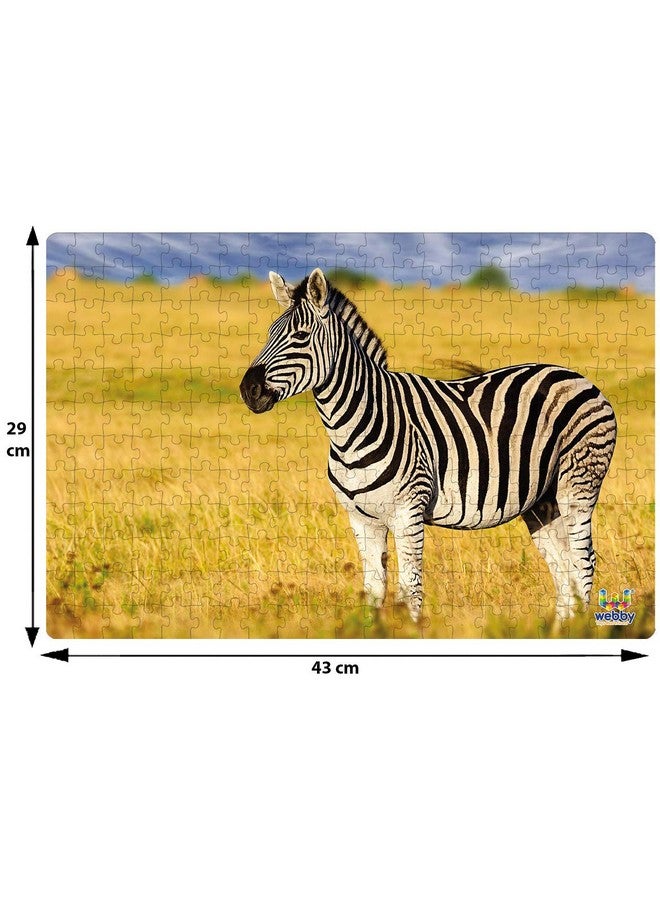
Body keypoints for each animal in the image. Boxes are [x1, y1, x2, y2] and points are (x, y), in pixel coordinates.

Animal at [239, 268, 617, 623]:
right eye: (269, 334)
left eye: (300, 337)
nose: (249, 390)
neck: (354, 426)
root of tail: (576, 376)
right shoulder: (361, 519)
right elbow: (374, 590)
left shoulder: (408, 512)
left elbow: (411, 589)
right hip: (541, 501)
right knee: (564, 568)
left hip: (578, 484)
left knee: (583, 562)